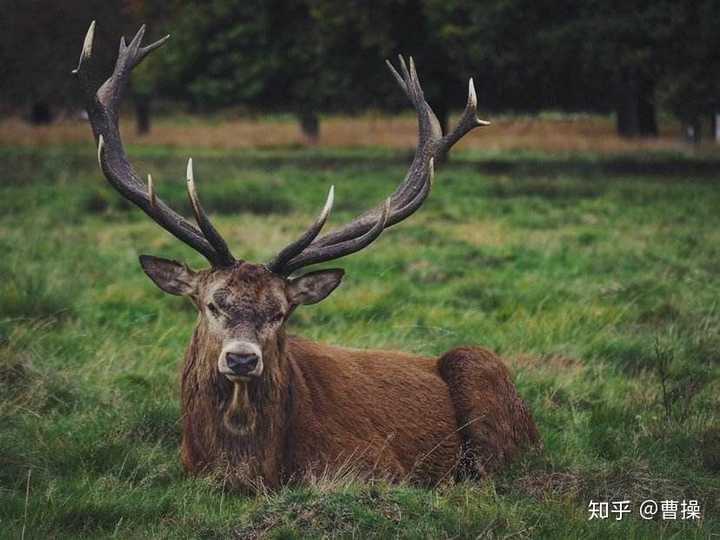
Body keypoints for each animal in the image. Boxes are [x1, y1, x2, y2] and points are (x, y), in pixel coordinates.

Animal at [74, 23, 540, 492]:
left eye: (281, 312)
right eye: (211, 304)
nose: (241, 358)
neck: (252, 469)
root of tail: (534, 427)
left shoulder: (379, 465)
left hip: (480, 368)